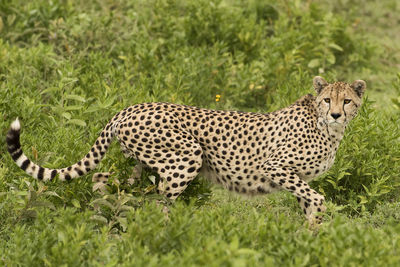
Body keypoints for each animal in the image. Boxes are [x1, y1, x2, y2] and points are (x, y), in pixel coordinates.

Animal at [5, 77, 366, 224]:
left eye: (347, 101)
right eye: (327, 100)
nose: (336, 114)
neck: (327, 128)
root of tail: (130, 107)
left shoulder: (296, 177)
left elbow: (308, 202)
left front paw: (310, 234)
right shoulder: (275, 167)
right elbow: (317, 197)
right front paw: (316, 227)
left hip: (139, 162)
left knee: (111, 181)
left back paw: (102, 217)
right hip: (187, 155)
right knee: (158, 200)